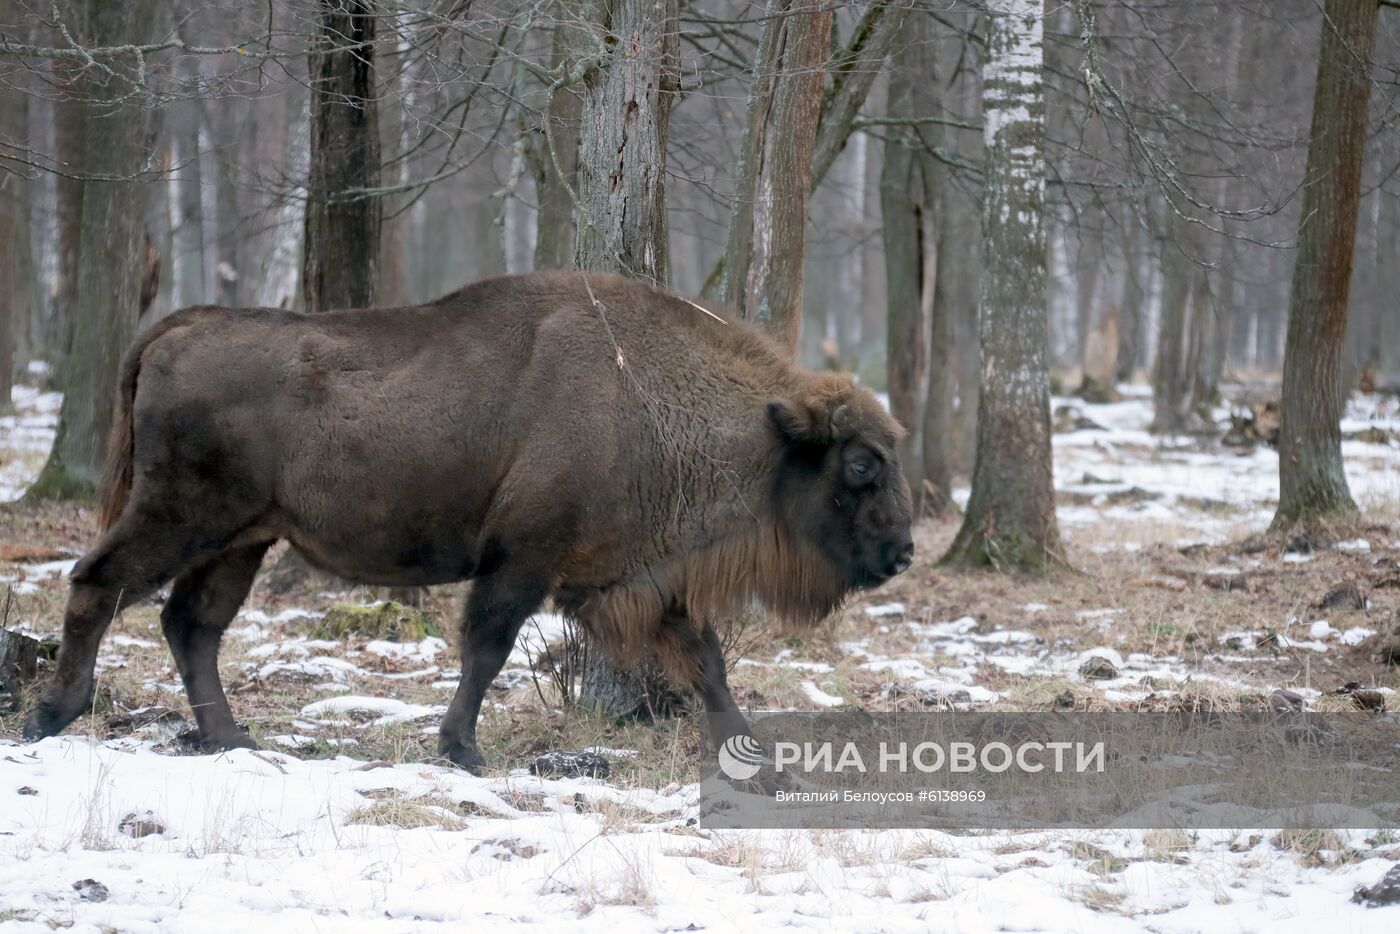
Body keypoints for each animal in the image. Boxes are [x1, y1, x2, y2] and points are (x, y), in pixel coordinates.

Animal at [30, 268, 918, 767]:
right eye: (861, 465)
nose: (905, 553)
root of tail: (180, 325)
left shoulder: (643, 580)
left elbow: (707, 663)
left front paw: (755, 754)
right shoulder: (521, 560)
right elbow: (485, 649)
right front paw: (463, 750)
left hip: (244, 538)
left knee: (192, 625)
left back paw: (231, 739)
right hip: (180, 516)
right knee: (99, 583)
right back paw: (51, 714)